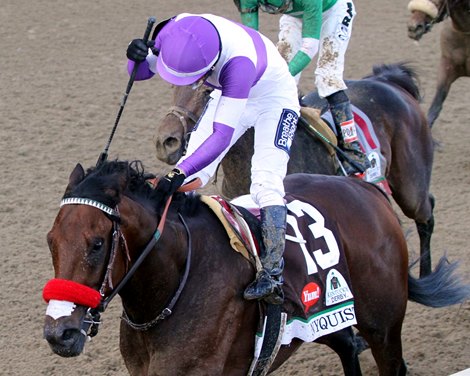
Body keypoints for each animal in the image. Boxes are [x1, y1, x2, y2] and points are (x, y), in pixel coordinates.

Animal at [41, 160, 470, 374]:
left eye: (97, 244)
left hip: (382, 326)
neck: (173, 289)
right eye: (51, 241)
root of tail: (368, 189)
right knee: (348, 345)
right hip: (323, 318)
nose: (59, 334)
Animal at [152, 63, 436, 278]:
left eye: (208, 92)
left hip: (410, 186)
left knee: (426, 213)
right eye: (174, 88)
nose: (166, 142)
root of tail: (389, 81)